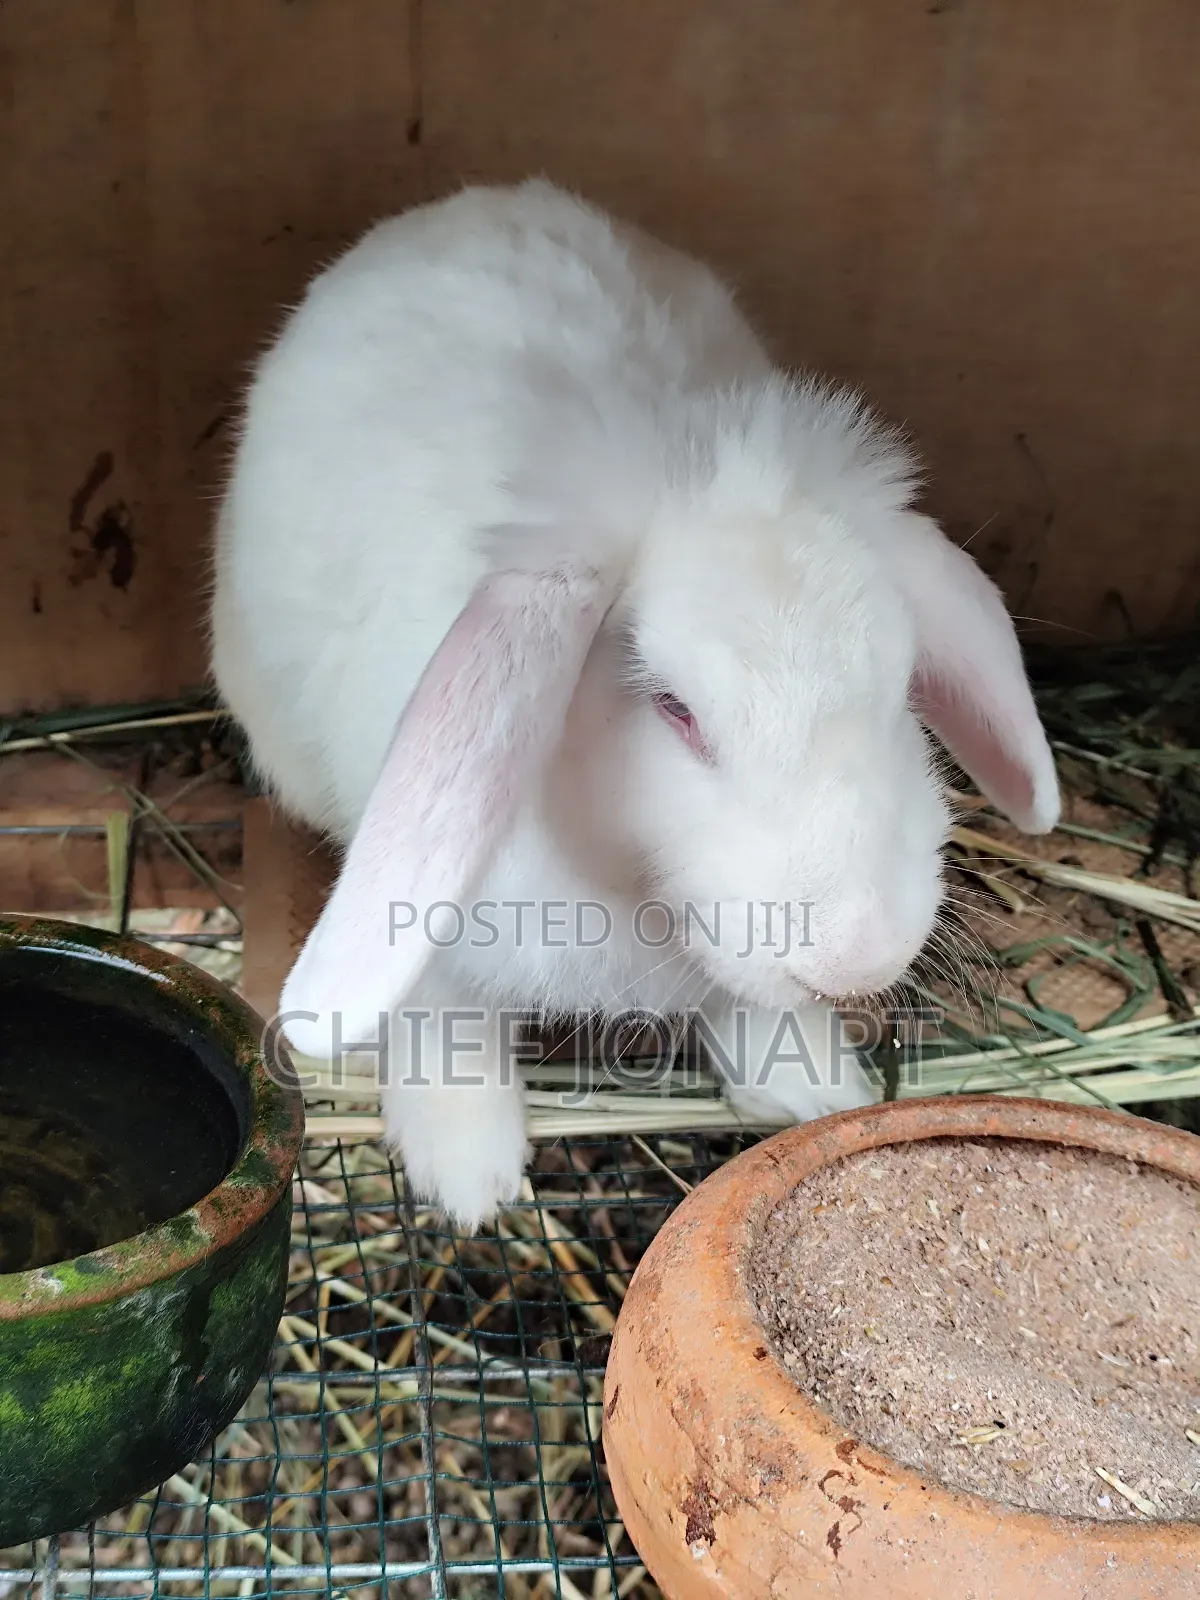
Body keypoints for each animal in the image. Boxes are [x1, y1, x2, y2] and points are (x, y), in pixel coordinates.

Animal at [211, 178, 1060, 1227]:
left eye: (901, 683)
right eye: (676, 709)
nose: (858, 959)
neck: (632, 880)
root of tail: (478, 198)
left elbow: (749, 1003)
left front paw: (816, 1086)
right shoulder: (433, 915)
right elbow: (442, 1012)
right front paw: (470, 1177)